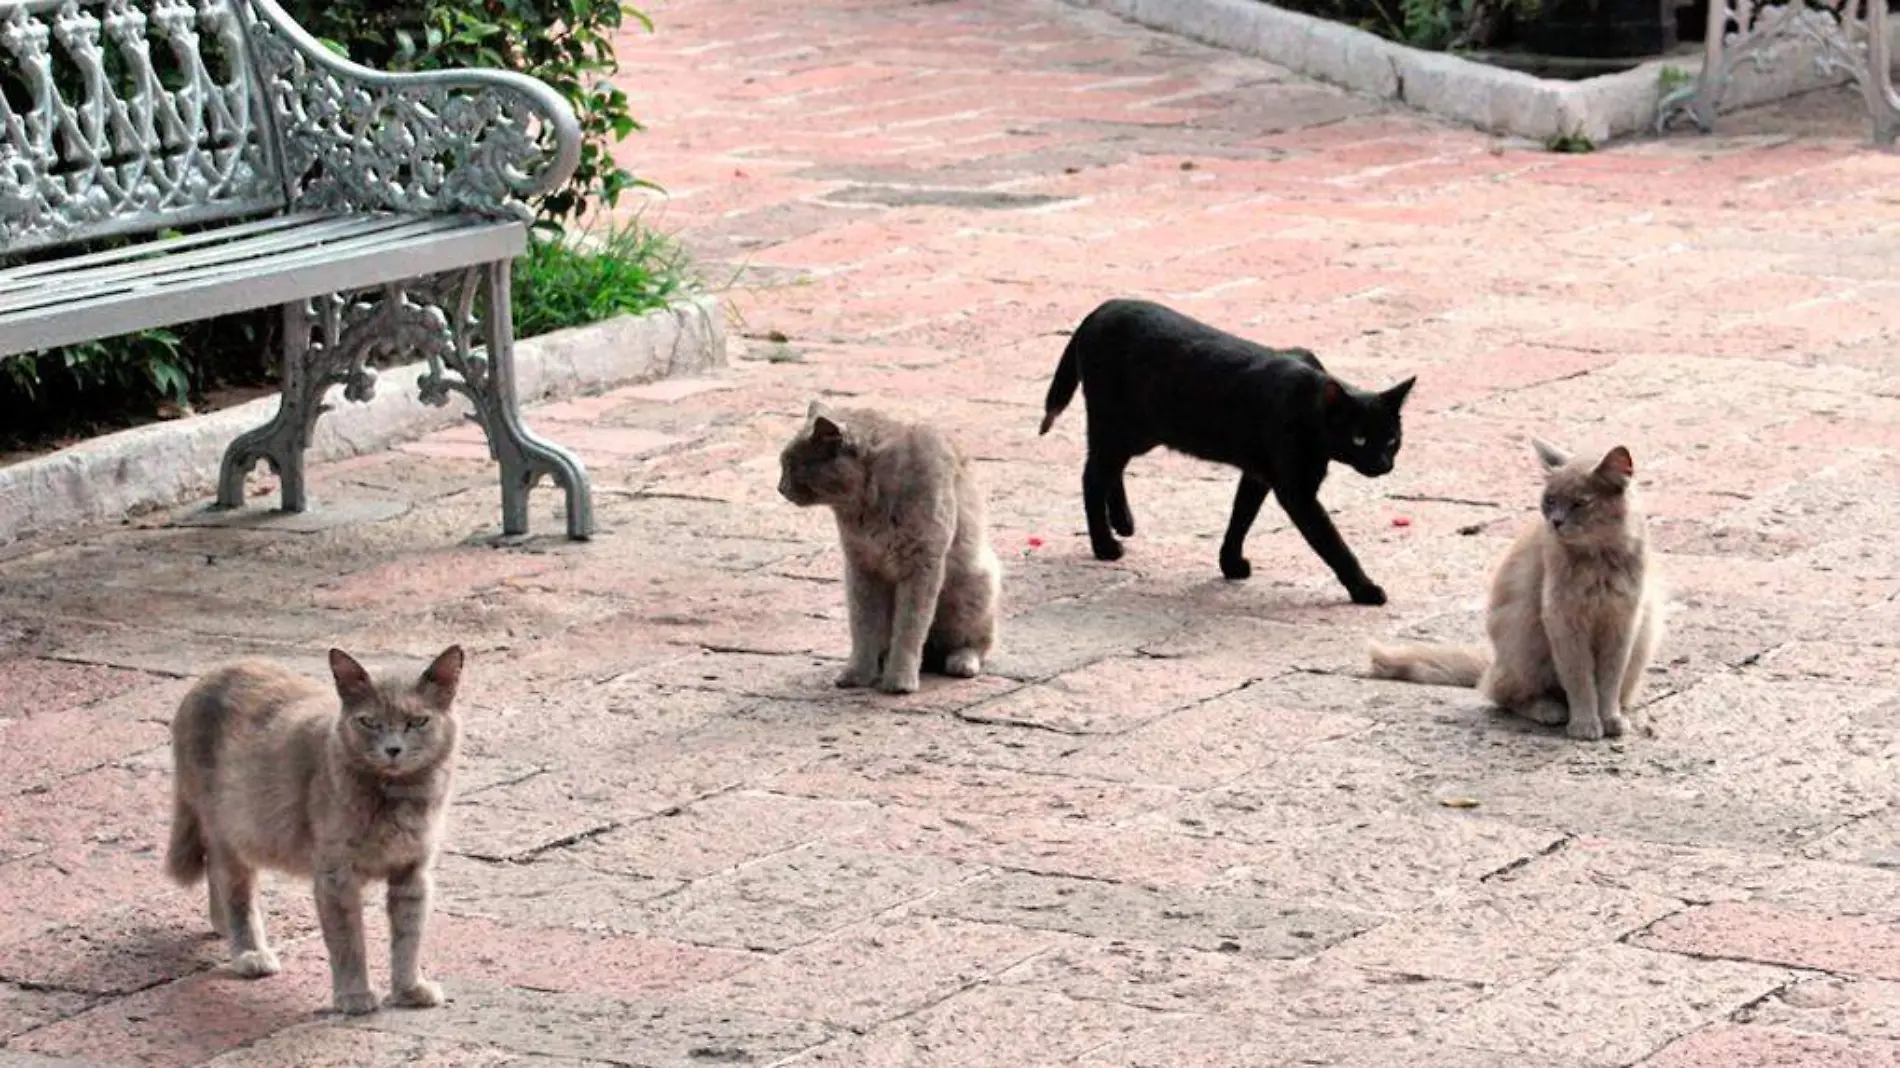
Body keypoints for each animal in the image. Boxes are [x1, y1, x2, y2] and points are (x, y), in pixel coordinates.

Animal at [169, 646, 469, 1010]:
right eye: (369, 722)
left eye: (418, 721)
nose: (393, 749)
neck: (397, 796)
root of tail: (209, 676)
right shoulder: (336, 874)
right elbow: (348, 940)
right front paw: (355, 996)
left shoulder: (413, 873)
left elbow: (408, 938)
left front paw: (409, 990)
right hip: (229, 824)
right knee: (235, 888)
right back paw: (250, 953)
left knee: (217, 873)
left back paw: (222, 924)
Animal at [775, 399, 1003, 691]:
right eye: (784, 463)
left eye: (794, 466)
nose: (780, 487)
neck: (867, 503)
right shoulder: (860, 566)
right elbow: (863, 626)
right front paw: (857, 674)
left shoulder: (922, 564)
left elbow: (910, 626)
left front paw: (900, 681)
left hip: (974, 586)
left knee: (975, 642)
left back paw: (961, 662)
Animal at [1041, 294, 1413, 604]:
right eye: (1359, 438)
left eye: (1392, 440)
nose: (1383, 464)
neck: (1308, 404)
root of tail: (1101, 308)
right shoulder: (1297, 493)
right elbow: (1334, 544)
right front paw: (1365, 589)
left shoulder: (1259, 474)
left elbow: (1241, 517)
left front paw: (1230, 563)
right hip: (1117, 424)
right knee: (1093, 475)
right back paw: (1105, 545)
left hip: (1137, 433)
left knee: (1110, 469)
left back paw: (1123, 522)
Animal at [1368, 437, 1664, 737]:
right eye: (1550, 500)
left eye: (1581, 503)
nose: (1556, 521)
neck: (1598, 559)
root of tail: (1493, 663)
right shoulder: (1563, 619)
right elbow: (1579, 677)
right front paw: (1585, 724)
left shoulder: (1624, 621)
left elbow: (1609, 680)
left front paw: (1610, 719)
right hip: (1523, 635)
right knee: (1499, 692)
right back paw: (1549, 710)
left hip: (1643, 642)